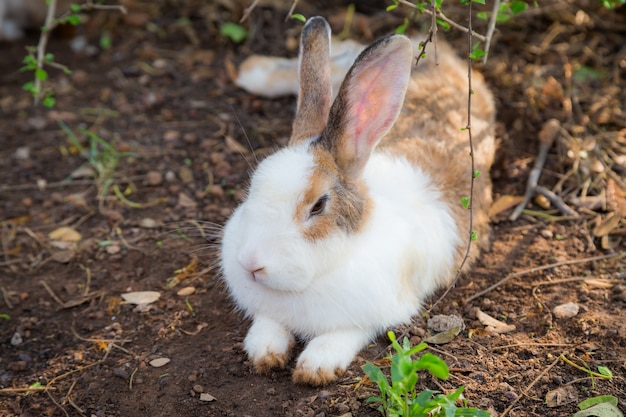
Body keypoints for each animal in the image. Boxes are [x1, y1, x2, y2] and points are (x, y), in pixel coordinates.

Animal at [219, 17, 492, 386]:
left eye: (318, 205)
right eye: (253, 186)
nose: (250, 263)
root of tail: (445, 57)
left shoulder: (373, 316)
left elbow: (342, 335)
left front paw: (315, 368)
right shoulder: (268, 310)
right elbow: (268, 325)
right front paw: (264, 352)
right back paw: (254, 71)